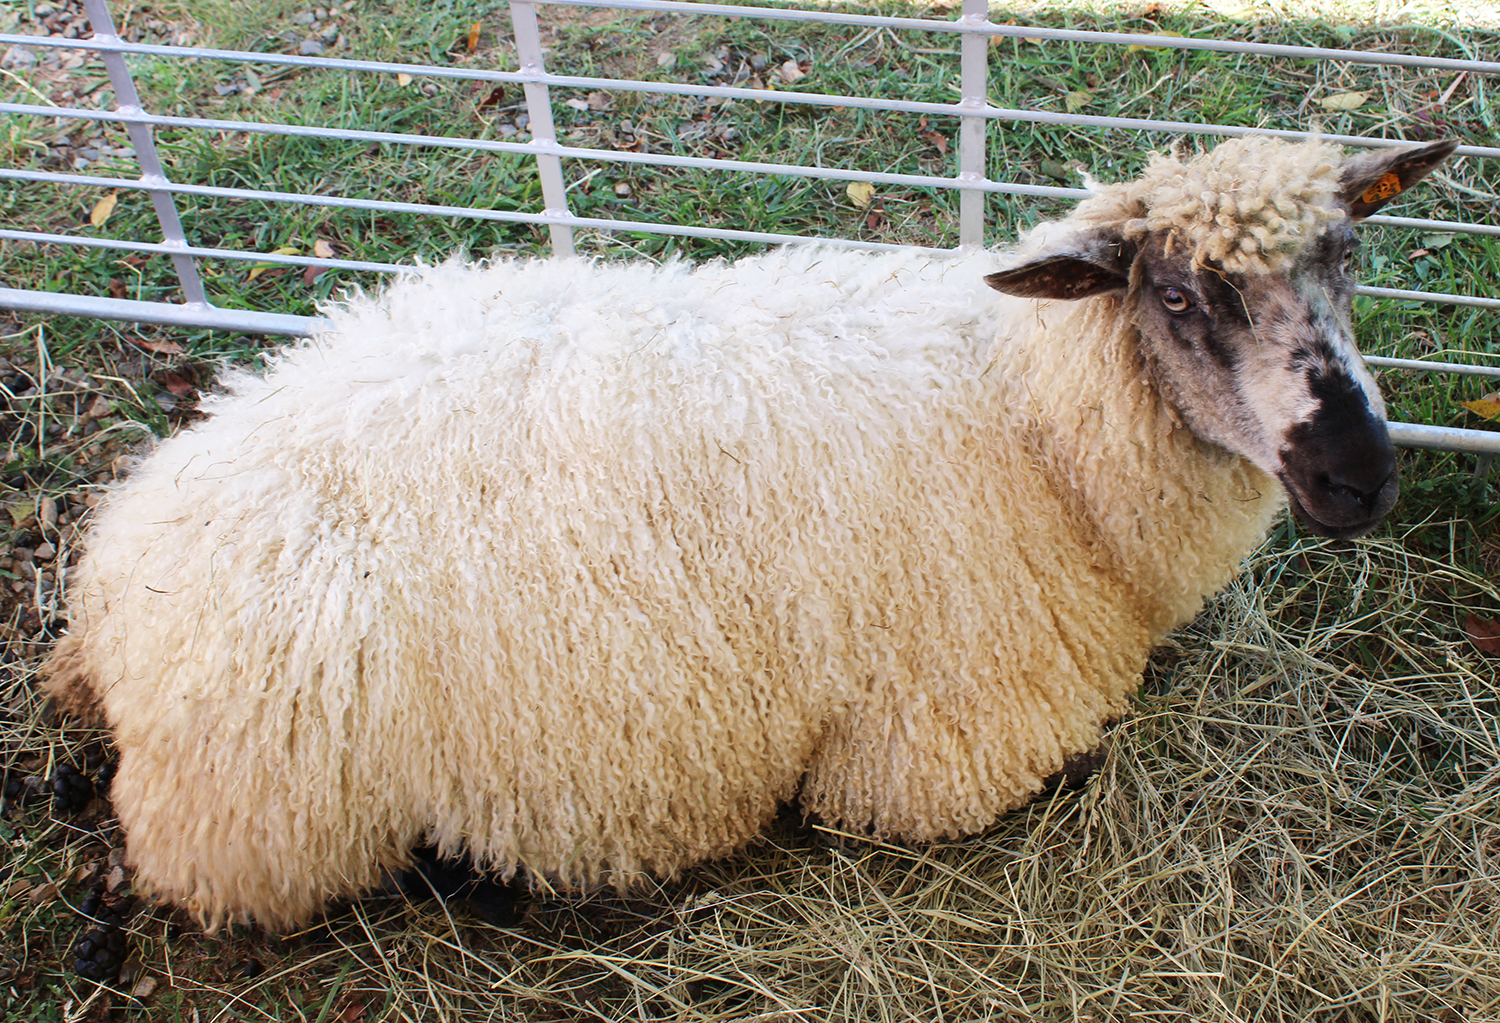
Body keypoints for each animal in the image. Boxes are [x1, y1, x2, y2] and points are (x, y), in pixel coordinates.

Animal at [44, 135, 1457, 930]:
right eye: (1174, 295)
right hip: (267, 824)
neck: (1029, 421)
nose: (1359, 475)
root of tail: (111, 579)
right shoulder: (937, 750)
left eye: (1348, 258)